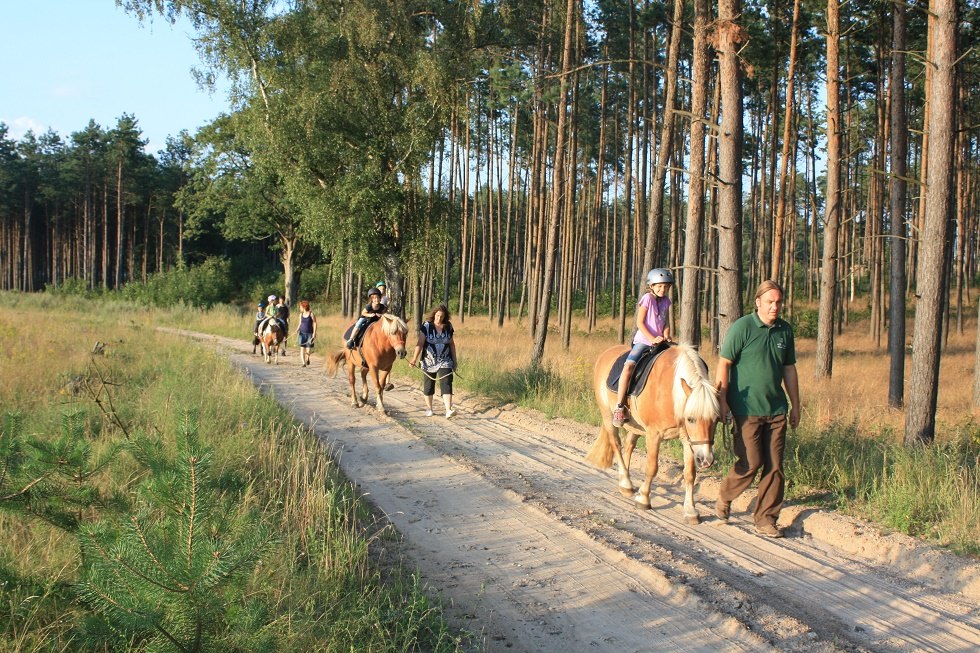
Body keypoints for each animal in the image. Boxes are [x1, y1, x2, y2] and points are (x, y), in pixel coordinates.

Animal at [584, 344, 724, 524]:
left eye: (716, 419)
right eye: (691, 419)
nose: (706, 460)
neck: (671, 391)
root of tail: (606, 353)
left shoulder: (689, 440)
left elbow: (689, 474)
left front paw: (690, 510)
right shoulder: (654, 434)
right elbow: (651, 467)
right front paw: (643, 499)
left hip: (636, 426)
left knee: (629, 446)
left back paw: (624, 483)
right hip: (608, 415)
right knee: (616, 443)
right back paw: (627, 482)